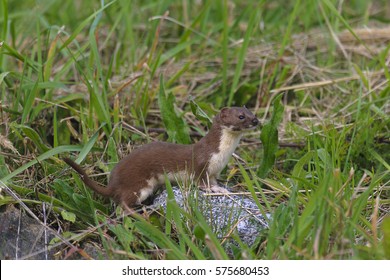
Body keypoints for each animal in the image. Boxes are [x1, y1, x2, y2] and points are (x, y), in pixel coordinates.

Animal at [64, 107, 258, 208]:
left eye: (252, 112)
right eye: (241, 116)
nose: (256, 121)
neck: (222, 155)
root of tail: (112, 184)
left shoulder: (215, 171)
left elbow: (214, 181)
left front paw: (222, 188)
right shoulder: (202, 164)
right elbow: (202, 183)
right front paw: (216, 190)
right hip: (139, 186)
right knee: (124, 204)